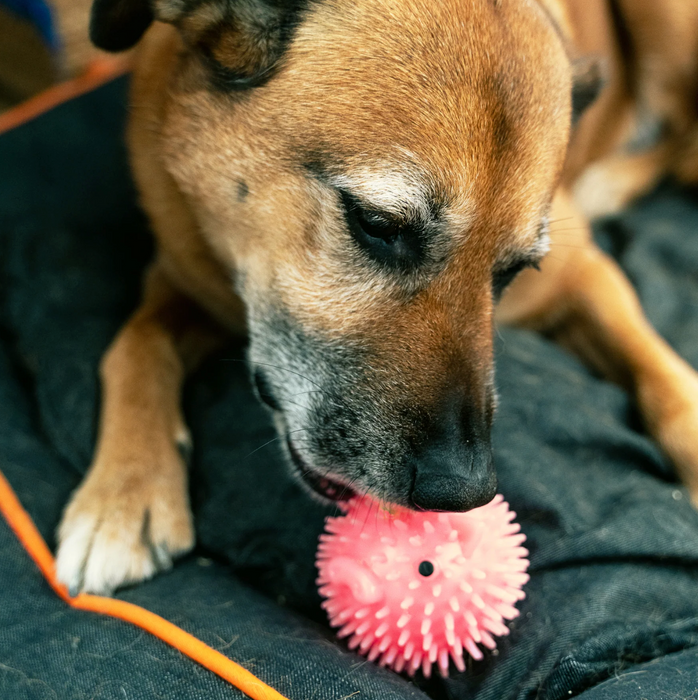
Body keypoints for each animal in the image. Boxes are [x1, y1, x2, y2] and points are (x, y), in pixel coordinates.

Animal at [55, 0, 698, 596]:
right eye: (377, 223)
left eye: (514, 270)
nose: (463, 492)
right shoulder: (182, 278)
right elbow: (136, 344)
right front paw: (123, 494)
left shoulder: (584, 271)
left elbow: (665, 381)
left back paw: (612, 180)